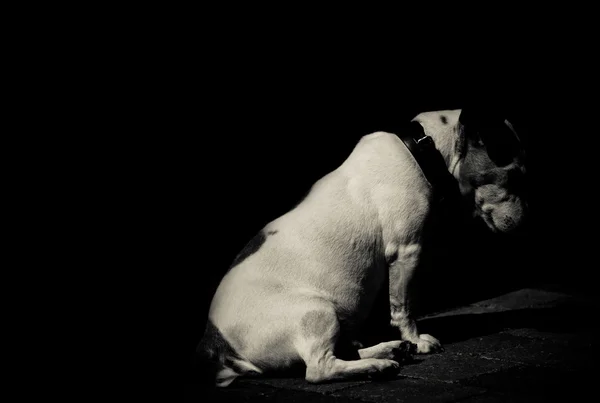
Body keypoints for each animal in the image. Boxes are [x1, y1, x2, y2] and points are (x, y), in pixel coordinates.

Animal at [196, 109, 524, 386]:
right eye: (515, 175)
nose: (526, 219)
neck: (422, 149)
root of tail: (215, 345)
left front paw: (408, 343)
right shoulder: (406, 252)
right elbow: (404, 308)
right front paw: (417, 341)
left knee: (339, 353)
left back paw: (391, 350)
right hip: (317, 312)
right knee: (318, 369)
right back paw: (379, 365)